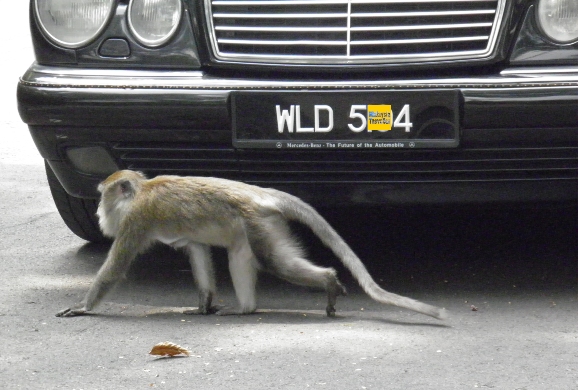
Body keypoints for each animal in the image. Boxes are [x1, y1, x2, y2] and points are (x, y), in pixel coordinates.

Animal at [57, 171, 446, 320]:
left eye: (103, 196)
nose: (97, 209)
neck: (142, 191)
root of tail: (262, 194)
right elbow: (198, 253)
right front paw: (204, 303)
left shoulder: (135, 223)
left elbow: (115, 268)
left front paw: (83, 306)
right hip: (257, 226)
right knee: (239, 256)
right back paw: (246, 309)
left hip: (259, 224)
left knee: (276, 262)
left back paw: (329, 282)